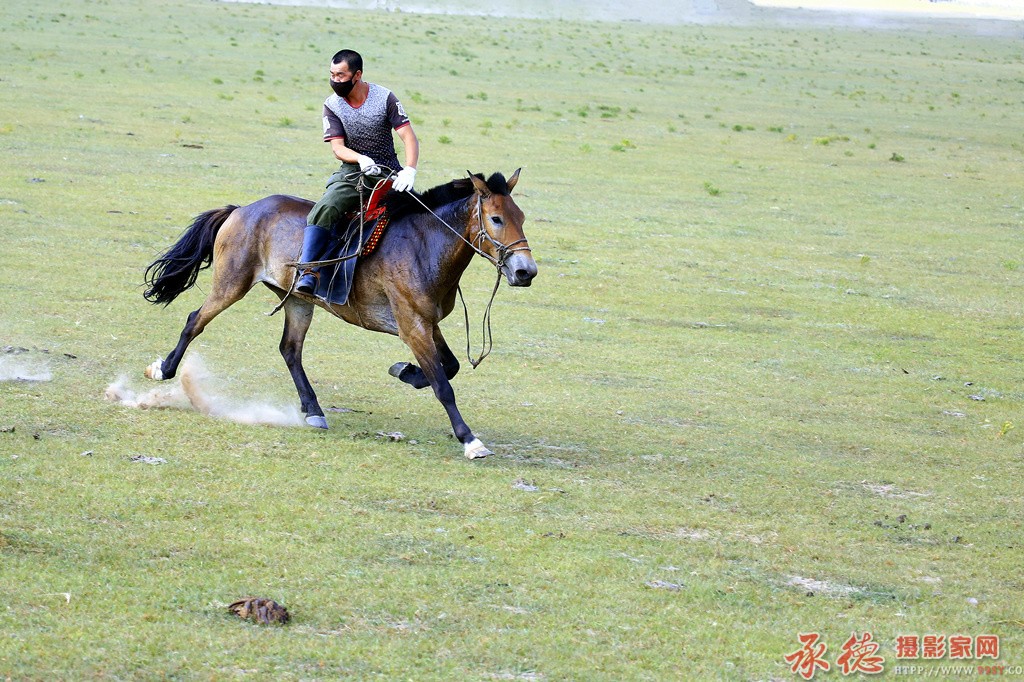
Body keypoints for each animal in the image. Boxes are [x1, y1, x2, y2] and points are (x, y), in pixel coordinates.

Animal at [142, 166, 536, 458]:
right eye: (496, 219)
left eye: (522, 217)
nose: (525, 272)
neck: (425, 246)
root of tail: (241, 210)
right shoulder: (412, 325)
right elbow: (443, 384)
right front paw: (470, 440)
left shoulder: (425, 322)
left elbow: (449, 367)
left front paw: (405, 371)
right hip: (231, 284)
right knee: (195, 321)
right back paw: (163, 369)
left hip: (298, 300)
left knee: (290, 350)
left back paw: (313, 410)